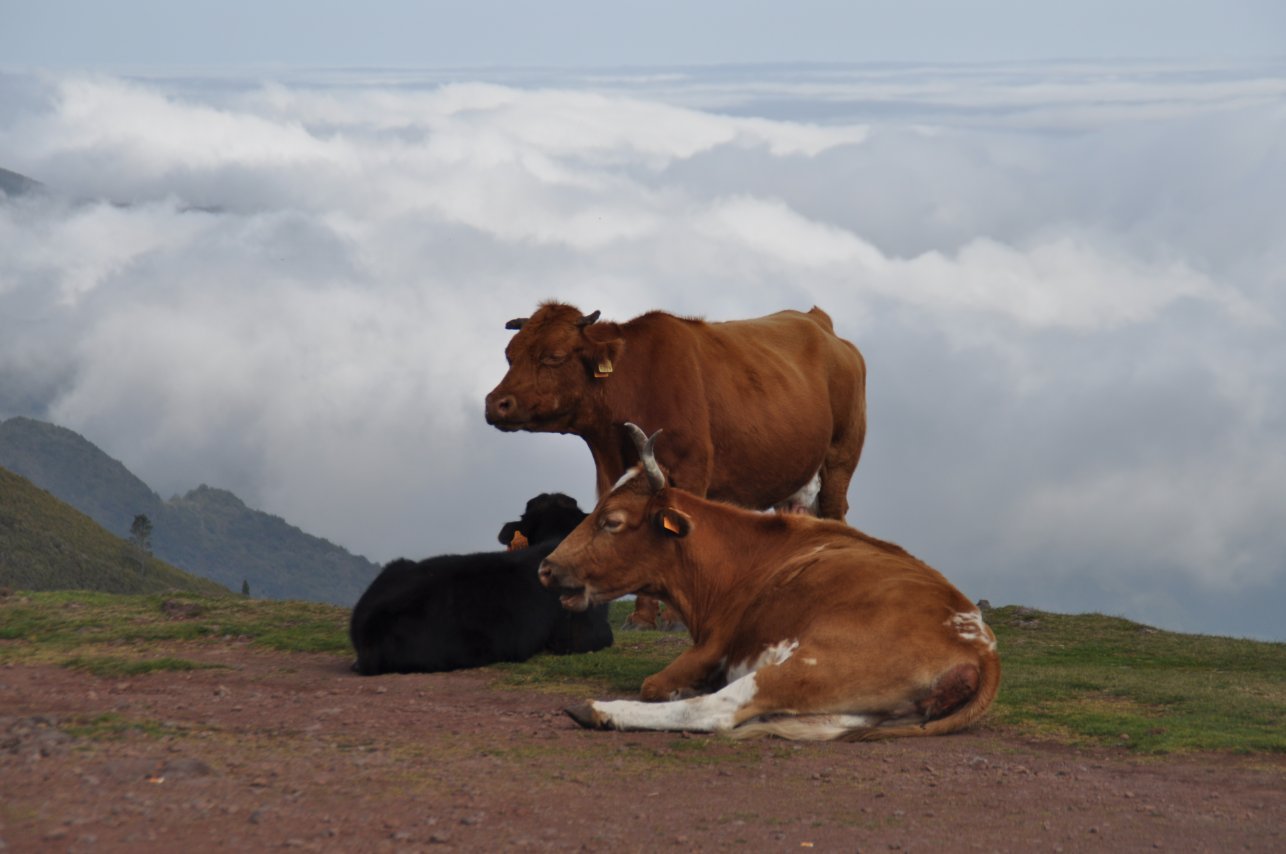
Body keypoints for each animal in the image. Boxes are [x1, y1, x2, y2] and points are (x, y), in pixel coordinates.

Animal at [486, 299, 869, 627]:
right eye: (509, 356)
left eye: (554, 356)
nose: (496, 403)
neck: (637, 382)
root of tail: (818, 321)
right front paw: (642, 618)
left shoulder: (690, 473)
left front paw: (672, 618)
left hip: (839, 461)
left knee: (836, 512)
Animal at [537, 427, 997, 740]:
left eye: (612, 521)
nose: (546, 567)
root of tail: (980, 644)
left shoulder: (713, 646)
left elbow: (654, 686)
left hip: (816, 662)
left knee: (721, 709)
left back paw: (598, 710)